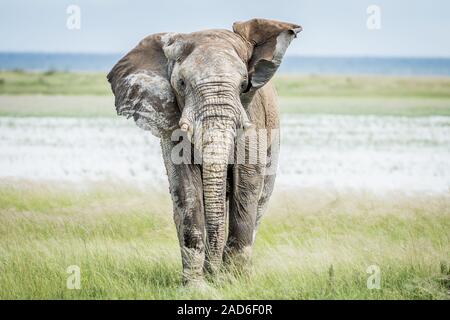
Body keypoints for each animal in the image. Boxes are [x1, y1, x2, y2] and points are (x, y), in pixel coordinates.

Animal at [107, 18, 300, 284]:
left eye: (244, 85)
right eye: (181, 83)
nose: (215, 276)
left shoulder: (253, 116)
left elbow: (246, 183)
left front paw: (234, 282)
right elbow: (186, 186)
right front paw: (197, 286)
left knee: (260, 200)